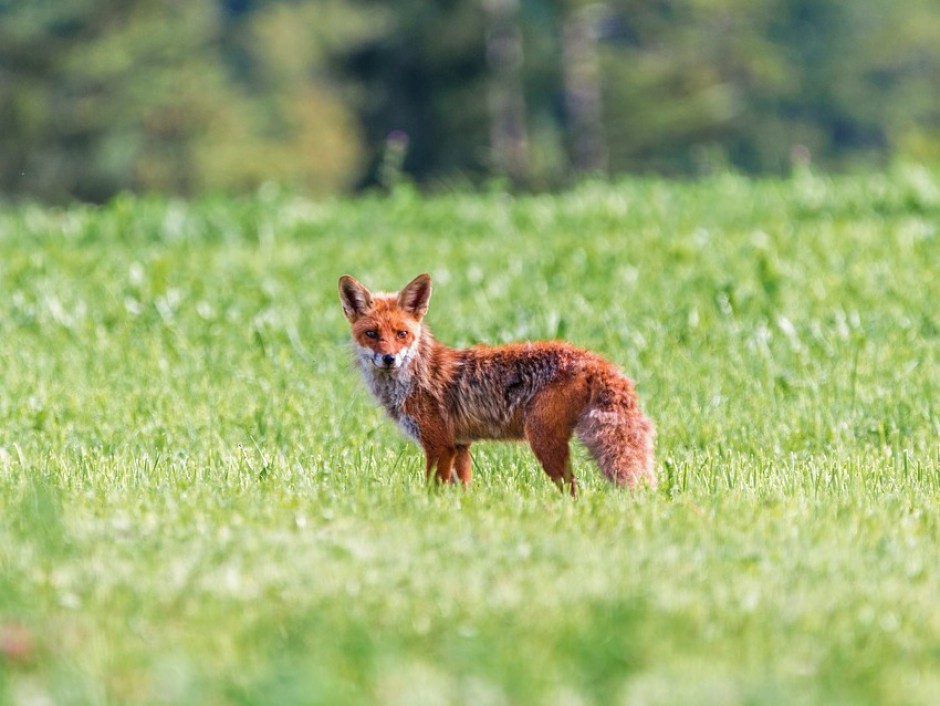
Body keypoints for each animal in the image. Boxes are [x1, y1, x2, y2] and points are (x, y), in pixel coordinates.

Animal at [342, 272, 656, 492]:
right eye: (372, 334)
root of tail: (592, 358)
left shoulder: (439, 445)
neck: (411, 379)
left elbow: (433, 489)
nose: (389, 358)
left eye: (402, 334)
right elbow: (462, 490)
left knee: (573, 490)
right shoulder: (460, 446)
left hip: (543, 440)